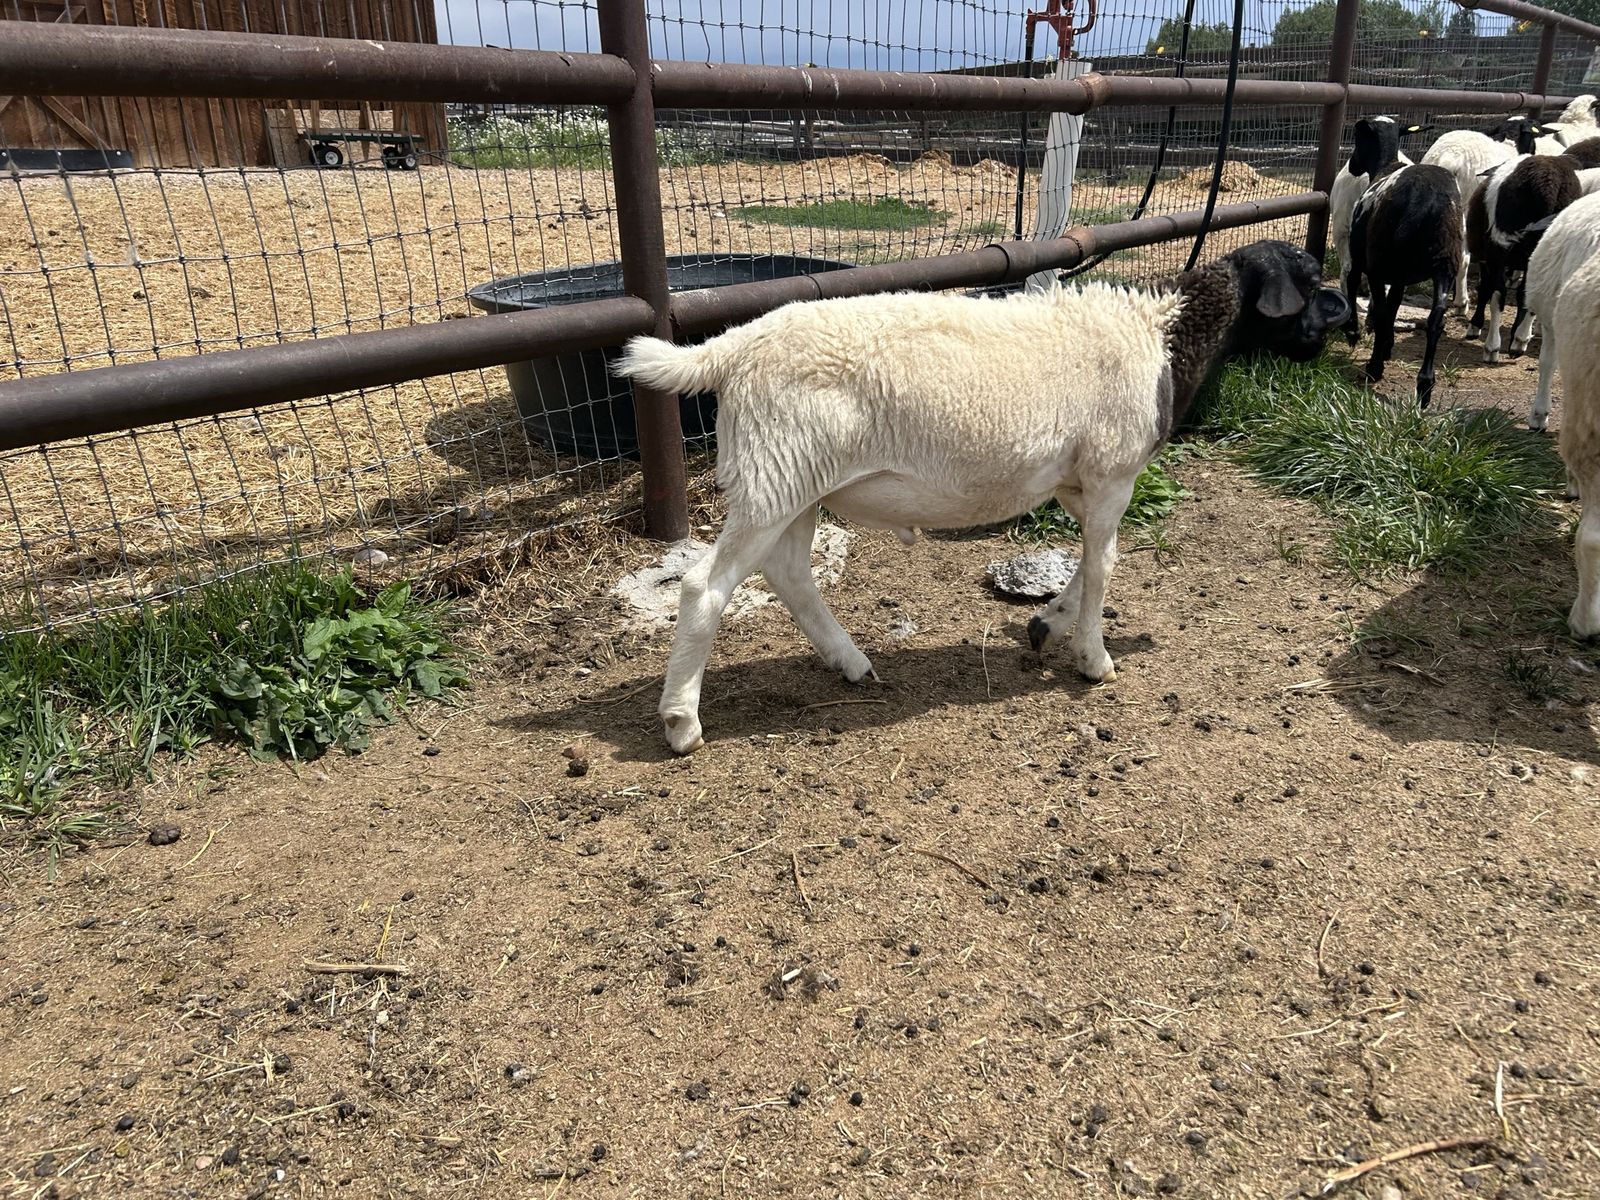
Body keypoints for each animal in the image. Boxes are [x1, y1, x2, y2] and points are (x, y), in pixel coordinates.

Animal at [612, 240, 1350, 753]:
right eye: (1311, 281)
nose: (1339, 330)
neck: (1162, 339)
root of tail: (734, 348)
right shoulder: (1112, 471)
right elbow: (1106, 565)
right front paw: (1095, 660)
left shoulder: (1076, 481)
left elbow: (1090, 560)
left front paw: (1048, 623)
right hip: (777, 472)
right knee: (706, 586)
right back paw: (682, 722)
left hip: (792, 480)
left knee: (789, 572)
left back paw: (851, 662)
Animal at [1342, 124, 1462, 405]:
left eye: (1358, 138)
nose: (1352, 166)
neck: (1385, 166)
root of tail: (1432, 200)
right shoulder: (1400, 277)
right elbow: (1394, 304)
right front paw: (1387, 346)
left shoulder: (1363, 258)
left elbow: (1355, 286)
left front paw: (1354, 332)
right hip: (1445, 263)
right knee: (1435, 319)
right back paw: (1425, 385)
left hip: (1381, 262)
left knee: (1380, 309)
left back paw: (1375, 368)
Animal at [1466, 153, 1581, 361]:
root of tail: (1549, 183)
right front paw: (1515, 336)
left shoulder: (1488, 257)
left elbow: (1486, 289)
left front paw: (1475, 326)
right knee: (1529, 292)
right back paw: (1520, 340)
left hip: (1499, 247)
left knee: (1498, 294)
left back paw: (1492, 347)